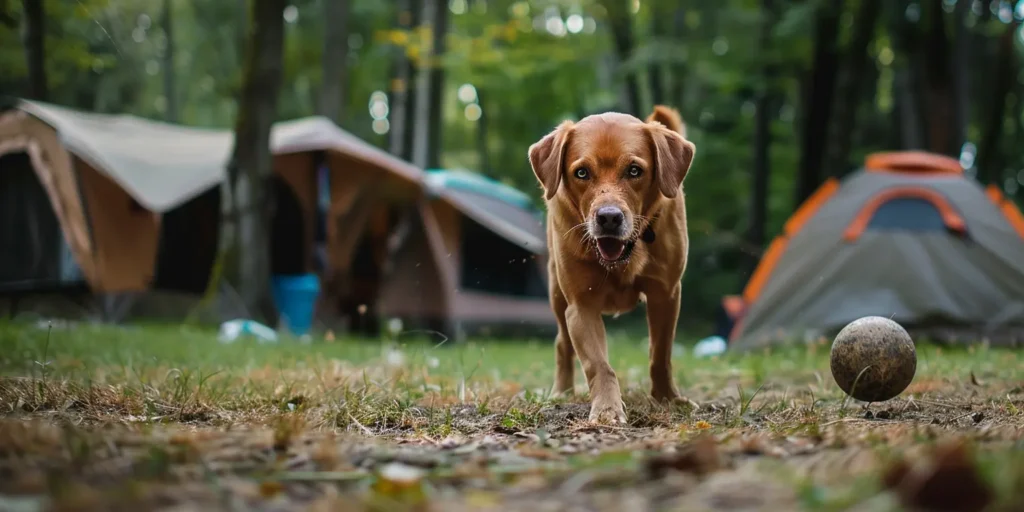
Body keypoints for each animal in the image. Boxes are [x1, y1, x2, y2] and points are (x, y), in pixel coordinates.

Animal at [528, 104, 696, 423]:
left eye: (634, 170)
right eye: (581, 172)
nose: (608, 217)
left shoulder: (666, 295)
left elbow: (661, 354)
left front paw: (667, 398)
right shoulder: (581, 307)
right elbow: (599, 366)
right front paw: (607, 409)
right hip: (556, 293)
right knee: (562, 344)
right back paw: (562, 393)